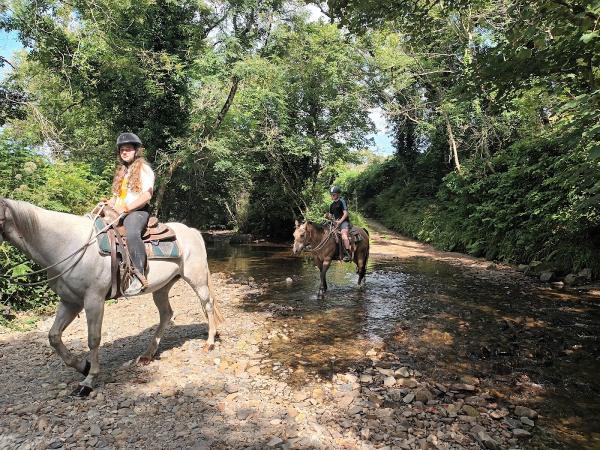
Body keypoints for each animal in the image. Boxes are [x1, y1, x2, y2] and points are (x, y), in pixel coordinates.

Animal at [0, 199, 223, 396]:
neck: (68, 245)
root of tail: (192, 231)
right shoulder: (70, 301)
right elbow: (54, 336)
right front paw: (83, 366)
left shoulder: (94, 300)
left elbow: (93, 339)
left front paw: (88, 381)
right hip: (162, 287)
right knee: (166, 314)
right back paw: (147, 355)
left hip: (197, 279)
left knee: (208, 305)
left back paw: (209, 343)